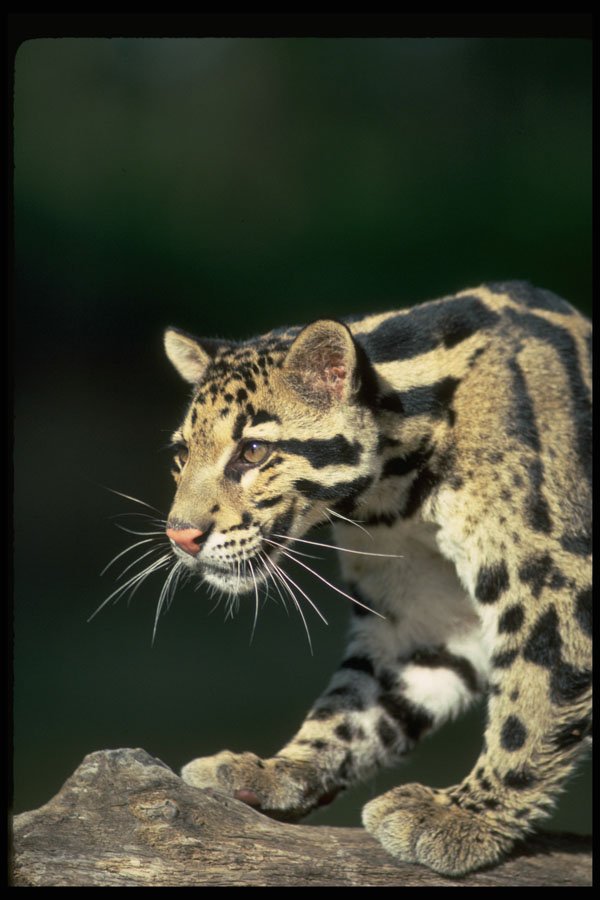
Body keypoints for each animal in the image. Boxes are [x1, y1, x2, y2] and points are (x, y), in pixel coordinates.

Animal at [161, 280, 592, 876]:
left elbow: (532, 700)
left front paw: (466, 816)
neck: (396, 496)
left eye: (253, 451)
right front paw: (280, 769)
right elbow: (356, 704)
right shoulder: (421, 616)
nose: (180, 535)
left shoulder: (556, 581)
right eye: (181, 454)